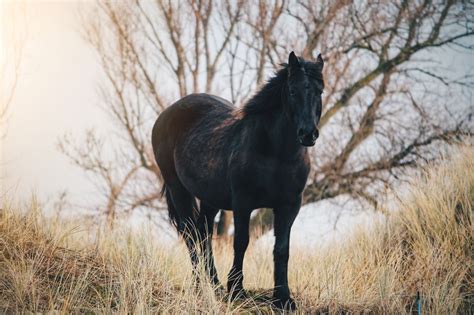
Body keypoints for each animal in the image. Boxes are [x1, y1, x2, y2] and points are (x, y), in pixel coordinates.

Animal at [154, 52, 324, 312]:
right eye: (293, 90)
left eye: (320, 91)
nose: (308, 134)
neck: (277, 154)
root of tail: (166, 114)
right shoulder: (243, 202)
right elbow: (241, 242)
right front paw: (236, 289)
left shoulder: (290, 206)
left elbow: (282, 249)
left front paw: (283, 298)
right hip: (178, 189)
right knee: (191, 235)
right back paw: (201, 286)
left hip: (210, 198)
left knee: (203, 233)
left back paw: (213, 285)